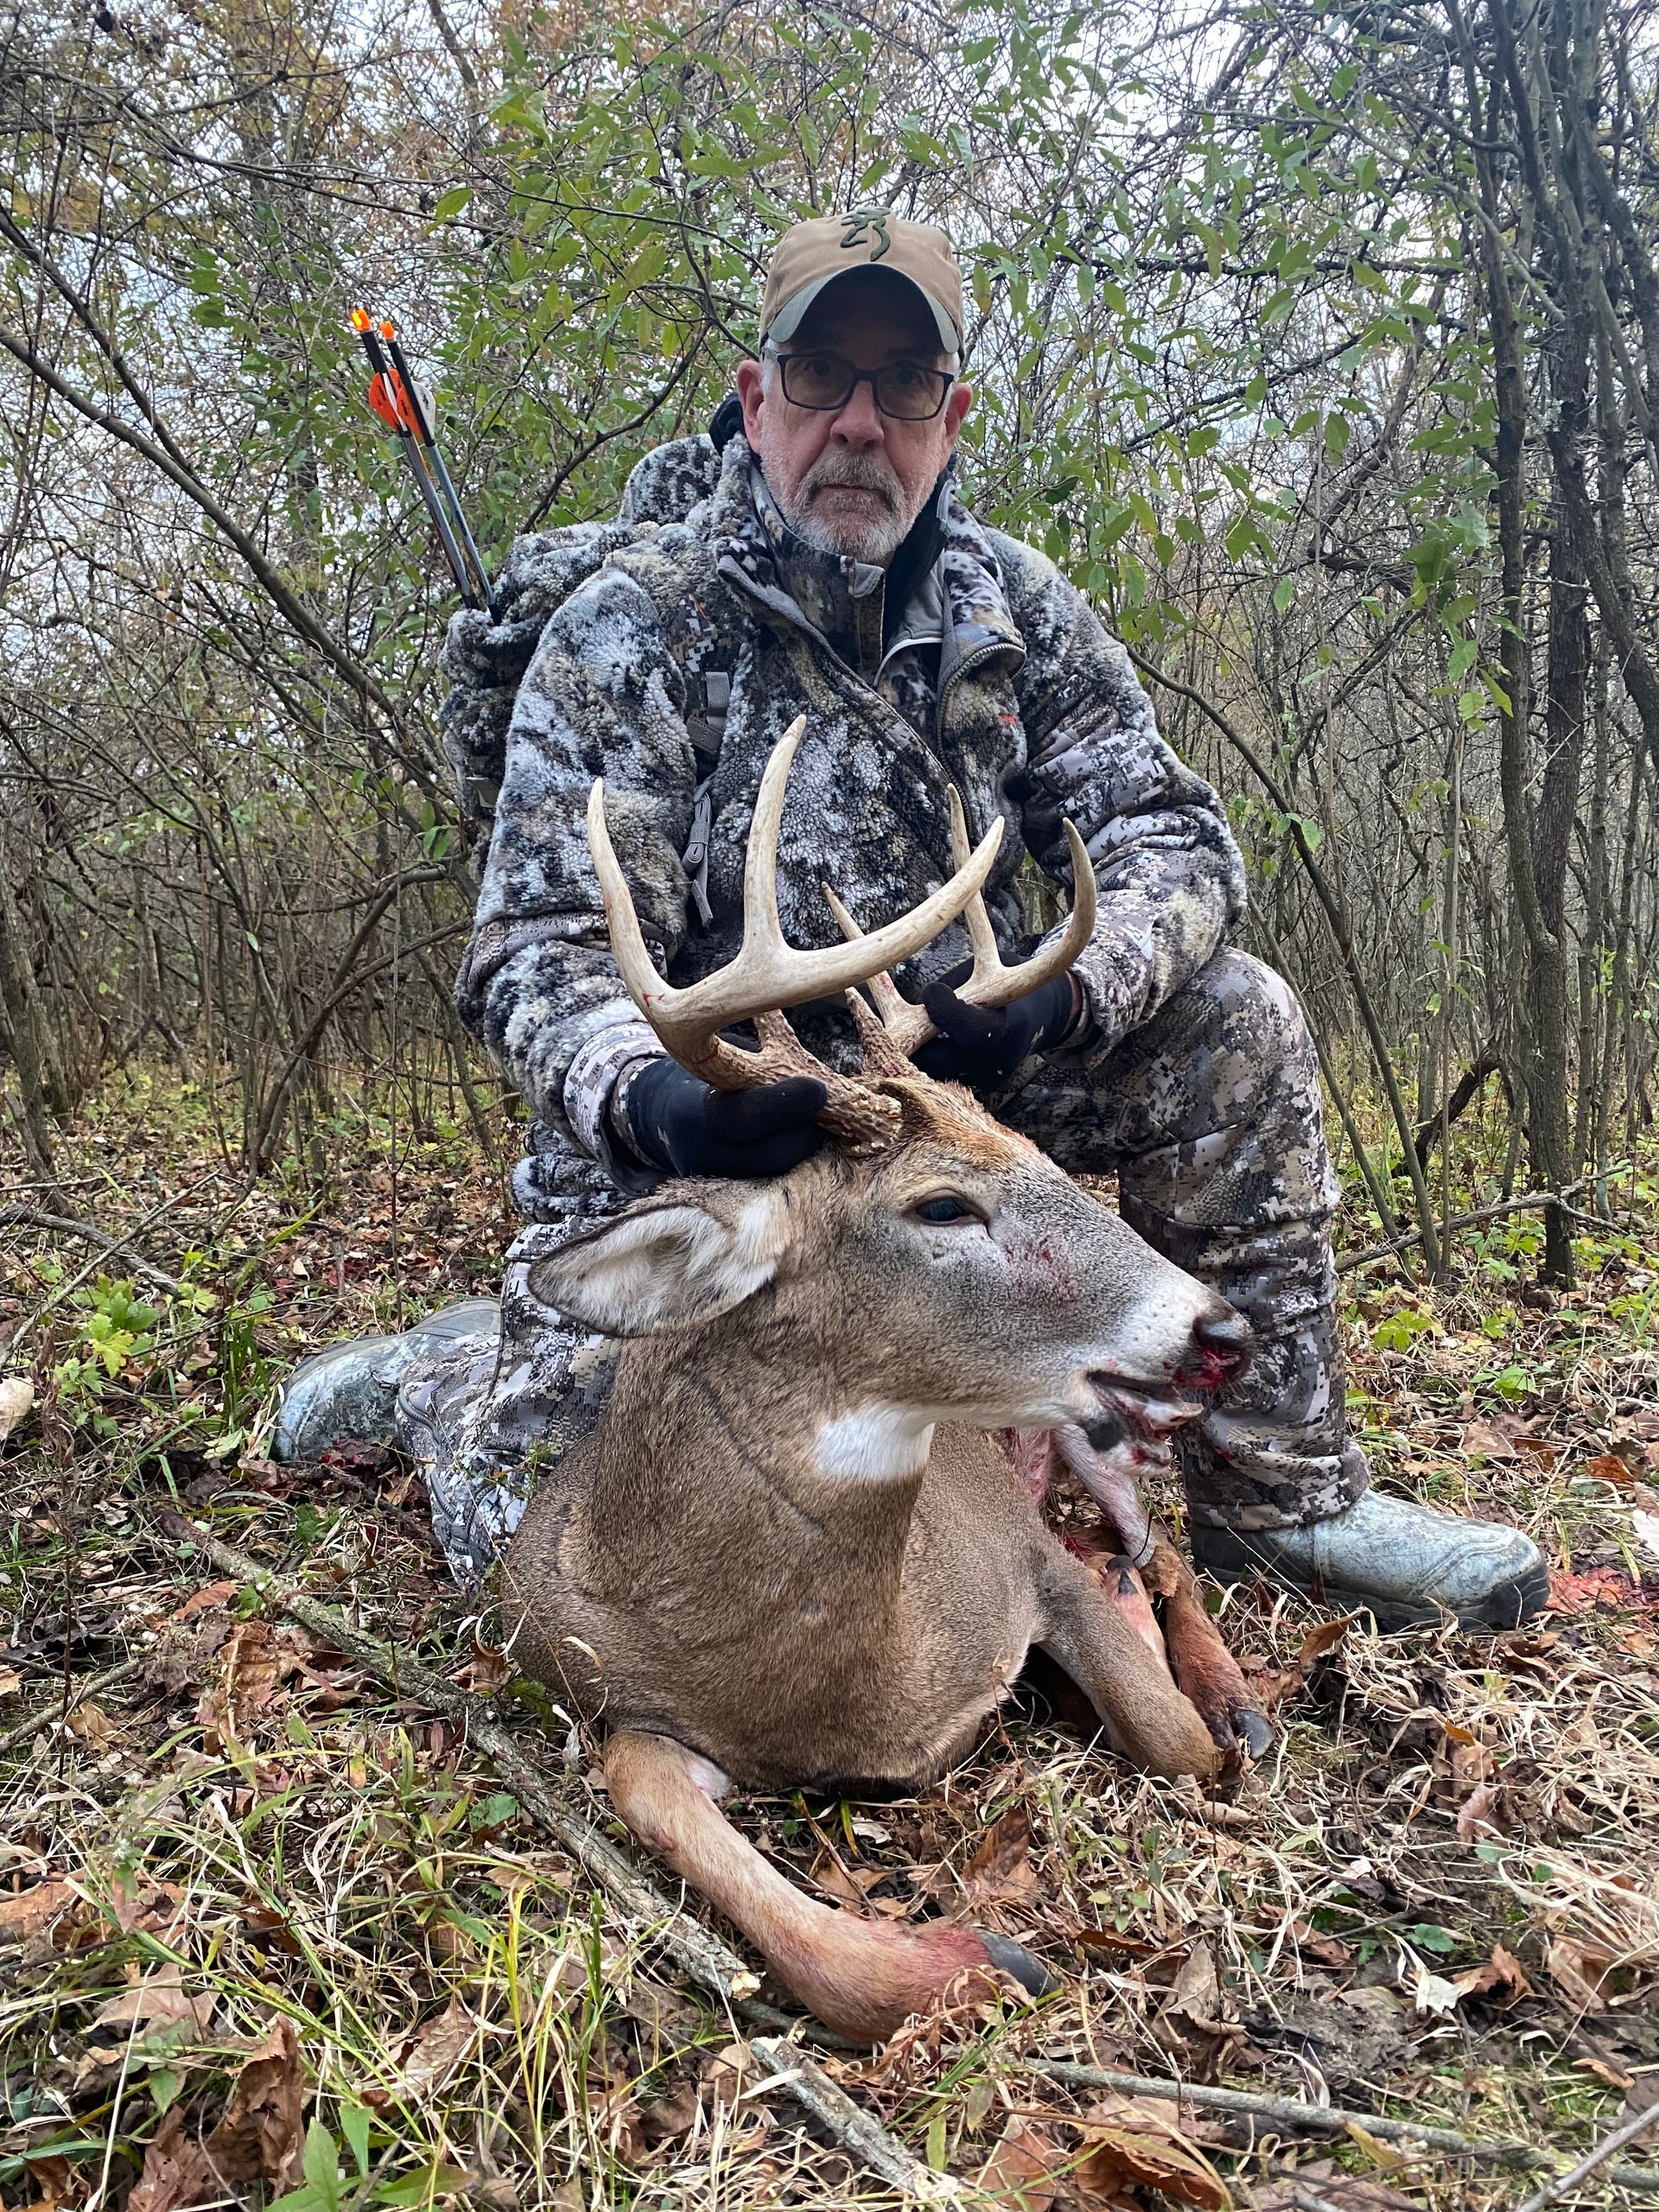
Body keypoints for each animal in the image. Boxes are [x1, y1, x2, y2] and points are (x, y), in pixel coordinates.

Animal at [502, 718, 1265, 2043]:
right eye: (941, 1204)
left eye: (1036, 1149)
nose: (1218, 1326)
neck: (858, 1685)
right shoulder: (613, 1702)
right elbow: (660, 1807)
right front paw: (968, 1965)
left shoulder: (1024, 1558)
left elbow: (1173, 1743)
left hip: (1099, 1442)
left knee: (1161, 1550)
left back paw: (1228, 1685)